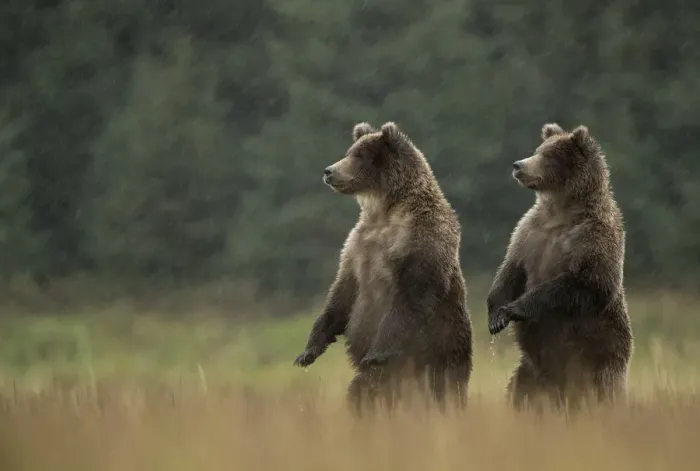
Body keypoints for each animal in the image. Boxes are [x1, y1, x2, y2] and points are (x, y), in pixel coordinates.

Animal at [293, 121, 473, 414]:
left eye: (358, 156)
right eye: (349, 151)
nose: (329, 170)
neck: (384, 209)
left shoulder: (420, 238)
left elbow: (411, 294)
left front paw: (376, 353)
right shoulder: (357, 246)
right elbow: (342, 293)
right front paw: (307, 352)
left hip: (443, 353)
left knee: (444, 391)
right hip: (382, 380)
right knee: (360, 392)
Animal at [486, 122, 633, 413]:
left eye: (548, 155)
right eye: (538, 149)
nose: (518, 165)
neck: (561, 212)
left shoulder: (593, 237)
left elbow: (586, 282)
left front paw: (515, 308)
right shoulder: (529, 232)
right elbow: (511, 270)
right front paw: (496, 315)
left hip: (599, 360)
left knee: (602, 394)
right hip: (530, 373)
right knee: (520, 393)